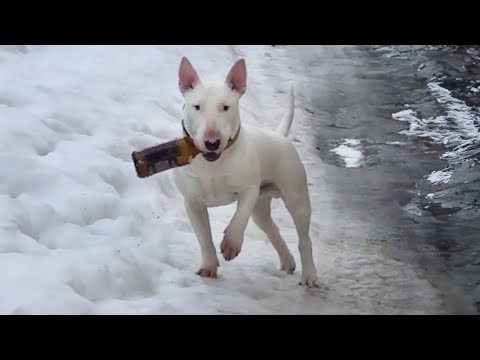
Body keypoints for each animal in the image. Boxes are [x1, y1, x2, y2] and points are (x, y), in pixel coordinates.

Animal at [172, 56, 318, 286]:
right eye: (196, 106)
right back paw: (287, 262)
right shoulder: (193, 202)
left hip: (296, 196)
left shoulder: (250, 189)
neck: (214, 164)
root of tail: (280, 136)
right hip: (261, 207)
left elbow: (239, 217)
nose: (212, 142)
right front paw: (208, 267)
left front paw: (231, 245)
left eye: (226, 107)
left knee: (304, 238)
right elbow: (203, 236)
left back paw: (310, 276)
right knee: (272, 229)